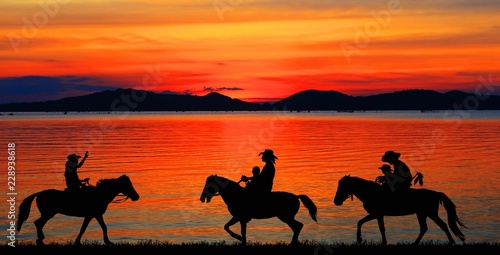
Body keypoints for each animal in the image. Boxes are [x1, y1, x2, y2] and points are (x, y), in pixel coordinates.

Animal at [334, 175, 466, 245]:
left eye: (342, 187)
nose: (336, 201)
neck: (371, 192)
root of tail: (435, 193)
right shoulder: (375, 214)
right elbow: (360, 222)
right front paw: (360, 239)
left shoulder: (377, 214)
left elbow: (380, 228)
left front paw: (381, 242)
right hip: (422, 214)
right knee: (424, 228)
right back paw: (415, 243)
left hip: (430, 213)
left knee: (442, 225)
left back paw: (451, 242)